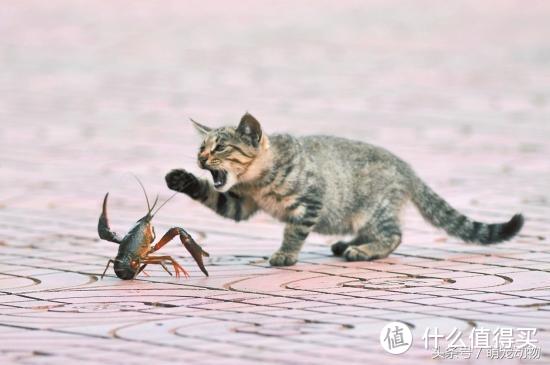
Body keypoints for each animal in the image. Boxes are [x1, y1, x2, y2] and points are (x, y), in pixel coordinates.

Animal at [167, 112, 528, 266]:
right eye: (201, 147)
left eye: (221, 147)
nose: (200, 158)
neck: (257, 182)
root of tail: (407, 168)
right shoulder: (240, 204)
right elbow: (213, 195)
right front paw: (181, 179)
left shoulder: (309, 201)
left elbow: (294, 231)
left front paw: (286, 254)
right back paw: (348, 244)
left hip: (375, 210)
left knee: (394, 235)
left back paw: (363, 251)